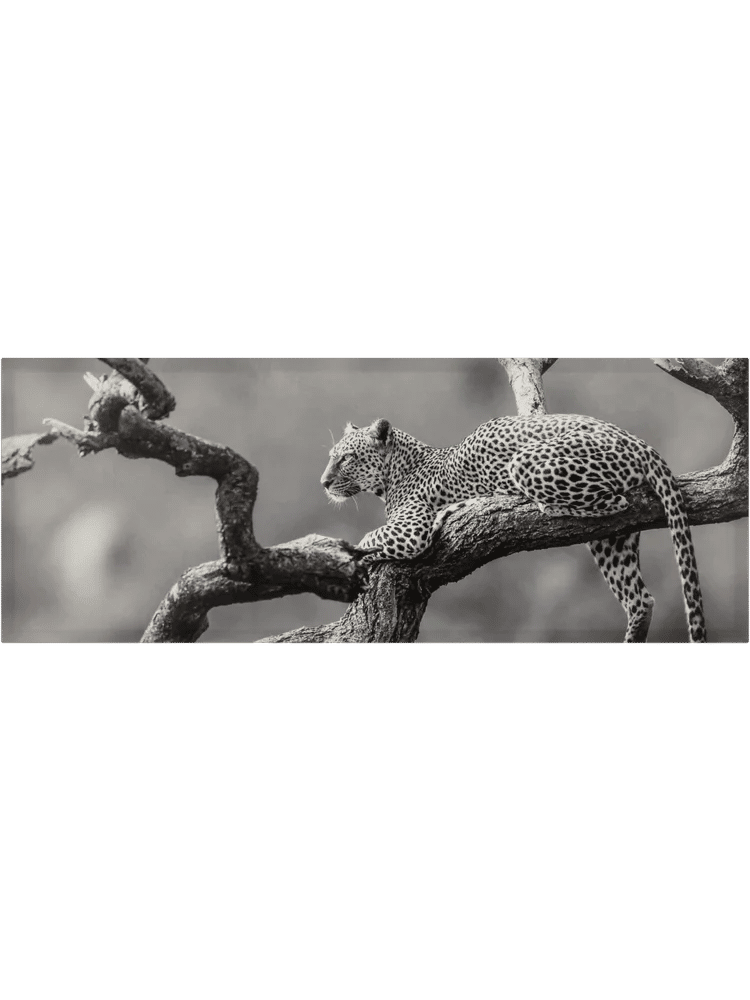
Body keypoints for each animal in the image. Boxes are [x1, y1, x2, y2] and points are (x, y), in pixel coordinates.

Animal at [320, 415, 707, 644]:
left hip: (528, 462)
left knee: (615, 500)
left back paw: (538, 505)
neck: (395, 472)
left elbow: (368, 538)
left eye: (346, 458)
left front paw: (346, 558)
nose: (323, 482)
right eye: (331, 455)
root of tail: (638, 441)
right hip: (613, 542)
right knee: (640, 597)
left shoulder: (411, 529)